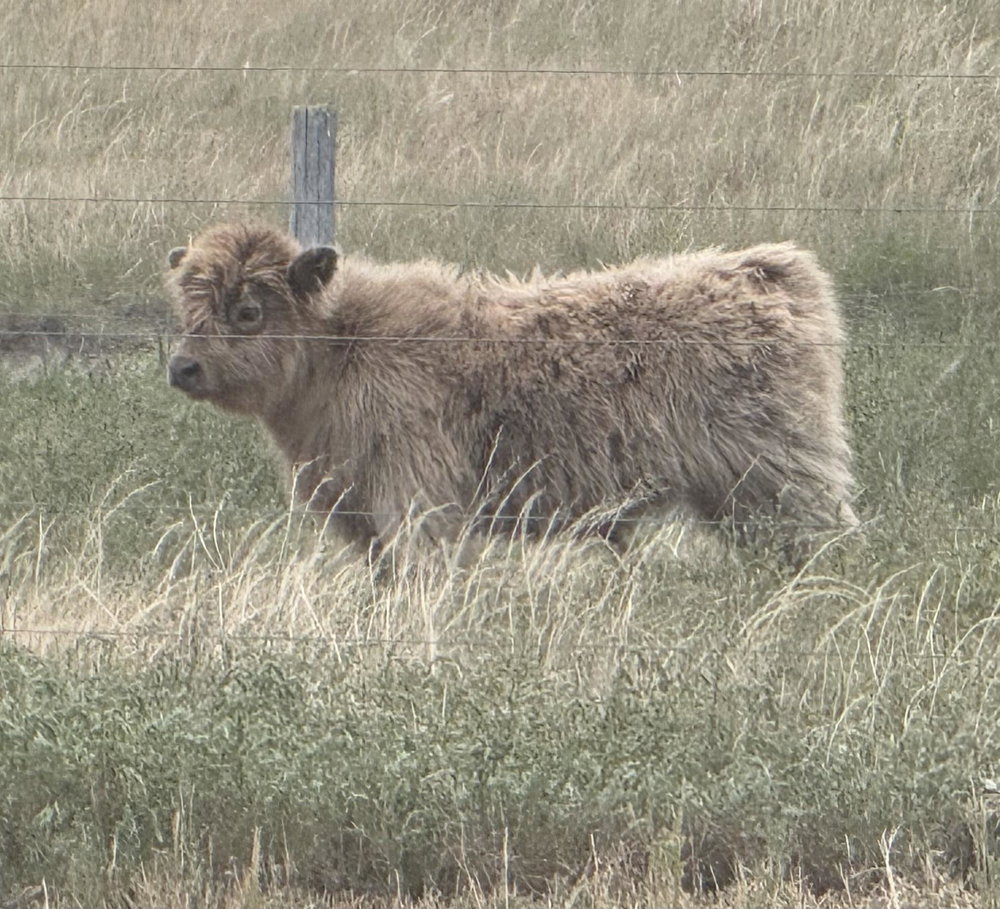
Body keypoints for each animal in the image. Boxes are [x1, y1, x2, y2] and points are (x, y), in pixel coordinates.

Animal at [165, 222, 857, 564]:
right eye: (186, 306)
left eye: (249, 311)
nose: (182, 368)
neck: (340, 351)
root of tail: (763, 269)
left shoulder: (417, 498)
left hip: (782, 475)